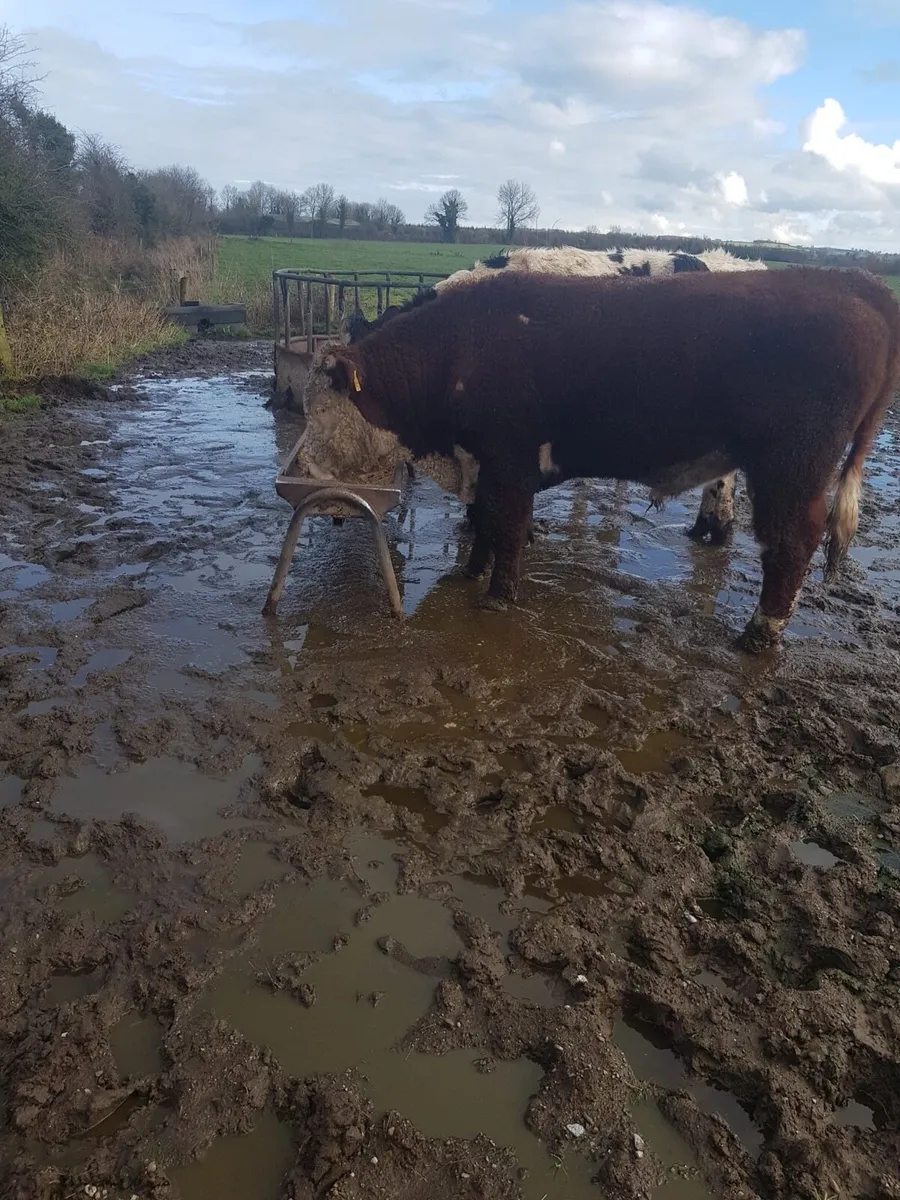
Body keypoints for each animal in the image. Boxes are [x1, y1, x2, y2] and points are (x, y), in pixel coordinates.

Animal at [309, 266, 900, 652]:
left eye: (316, 410)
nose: (309, 484)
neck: (459, 346)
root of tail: (852, 280)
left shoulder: (510, 458)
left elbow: (507, 524)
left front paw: (498, 595)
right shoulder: (483, 461)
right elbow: (485, 522)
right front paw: (470, 572)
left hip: (793, 466)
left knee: (792, 542)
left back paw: (760, 633)